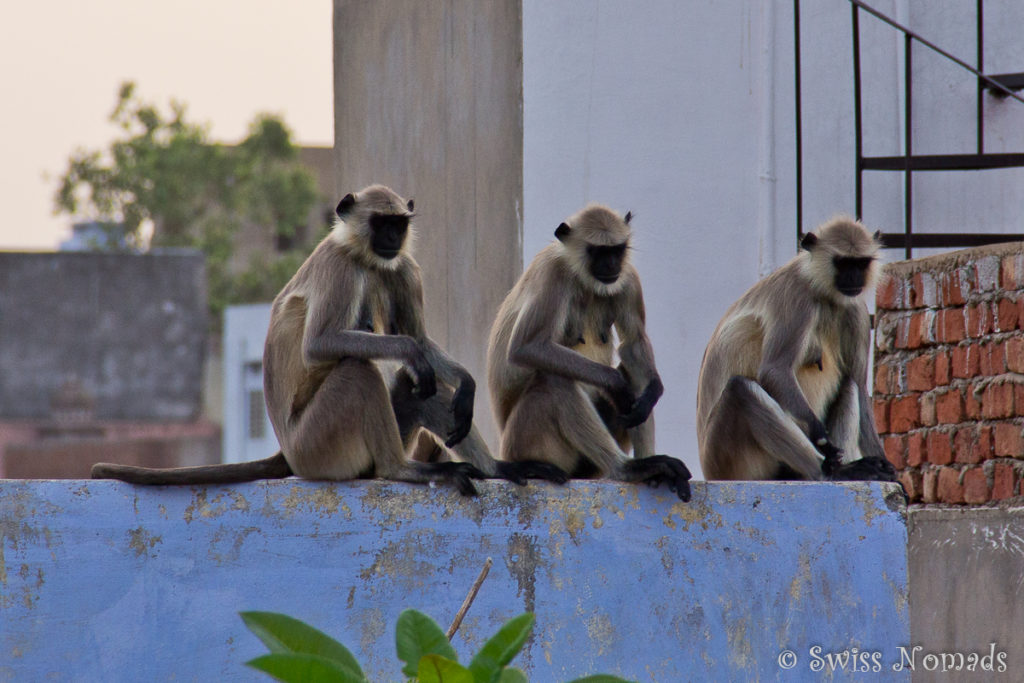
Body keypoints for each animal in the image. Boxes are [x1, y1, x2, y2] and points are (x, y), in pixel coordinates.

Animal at [93, 187, 561, 493]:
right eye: (380, 223)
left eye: (398, 224)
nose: (392, 239)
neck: (363, 257)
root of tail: (288, 452)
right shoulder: (339, 267)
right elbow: (323, 345)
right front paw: (408, 353)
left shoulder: (403, 266)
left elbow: (421, 341)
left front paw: (465, 382)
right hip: (319, 446)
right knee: (358, 371)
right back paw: (402, 470)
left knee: (415, 387)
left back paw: (496, 468)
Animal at [485, 202, 692, 501]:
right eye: (598, 251)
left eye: (617, 250)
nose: (611, 265)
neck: (580, 277)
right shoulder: (553, 273)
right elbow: (527, 347)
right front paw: (615, 384)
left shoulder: (627, 276)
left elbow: (633, 343)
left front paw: (653, 390)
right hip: (523, 443)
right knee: (555, 380)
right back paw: (627, 469)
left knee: (630, 371)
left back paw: (651, 470)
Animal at [696, 216, 897, 483]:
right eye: (842, 263)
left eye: (860, 263)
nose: (854, 278)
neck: (821, 292)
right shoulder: (795, 298)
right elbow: (774, 370)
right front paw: (822, 439)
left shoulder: (855, 310)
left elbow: (860, 386)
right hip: (726, 458)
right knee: (740, 390)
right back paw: (830, 471)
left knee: (849, 384)